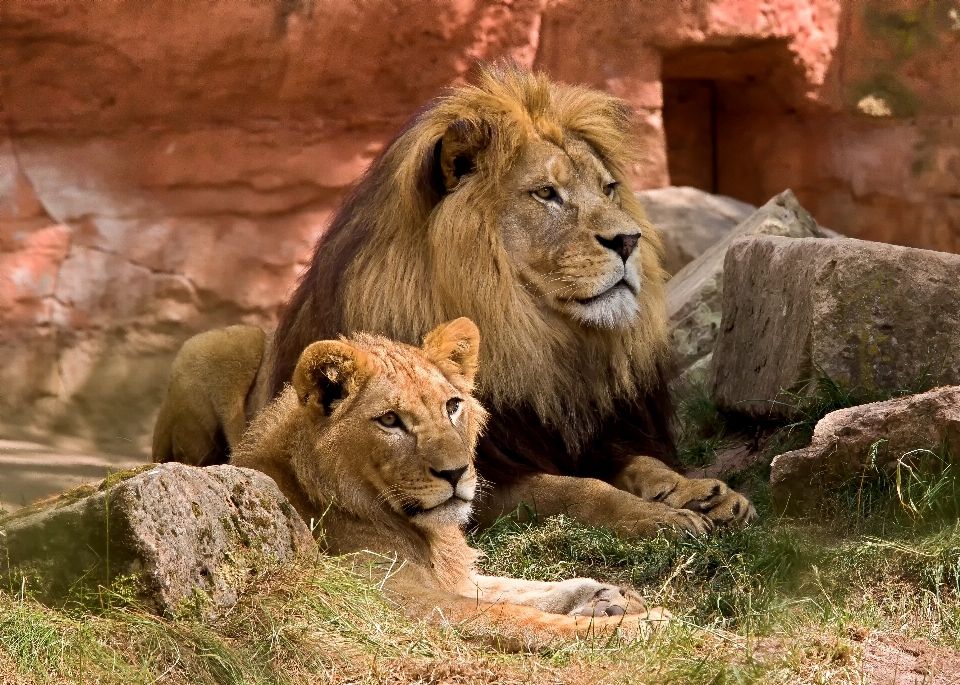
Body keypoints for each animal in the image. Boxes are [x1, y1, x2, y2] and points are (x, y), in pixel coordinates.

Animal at [154, 62, 752, 536]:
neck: (538, 341)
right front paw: (661, 517)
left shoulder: (588, 435)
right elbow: (577, 489)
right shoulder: (474, 479)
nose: (630, 240)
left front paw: (699, 491)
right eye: (547, 193)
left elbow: (642, 465)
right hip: (213, 343)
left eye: (608, 189)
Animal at [233, 318, 668, 648]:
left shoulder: (452, 577)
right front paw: (641, 625)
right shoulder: (389, 603)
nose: (457, 472)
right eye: (389, 420)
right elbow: (510, 615)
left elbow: (517, 587)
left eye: (452, 406)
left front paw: (606, 596)